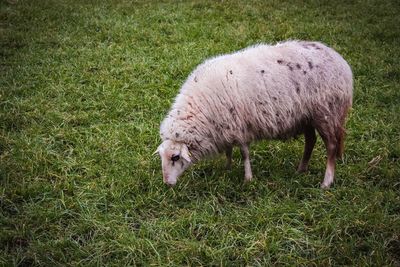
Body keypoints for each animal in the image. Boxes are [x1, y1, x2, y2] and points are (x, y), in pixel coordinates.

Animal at [155, 40, 352, 189]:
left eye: (175, 157)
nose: (167, 184)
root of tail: (340, 61)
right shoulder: (226, 126)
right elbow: (228, 150)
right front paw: (227, 167)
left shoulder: (240, 127)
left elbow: (244, 153)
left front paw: (248, 179)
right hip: (307, 115)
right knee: (310, 141)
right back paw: (301, 170)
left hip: (326, 111)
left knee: (332, 146)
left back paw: (326, 182)